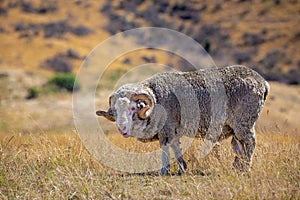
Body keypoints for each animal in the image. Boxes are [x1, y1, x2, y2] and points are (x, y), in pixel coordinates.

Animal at [96, 65, 270, 175]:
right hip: (235, 127)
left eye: (133, 108)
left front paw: (164, 171)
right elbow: (177, 148)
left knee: (250, 143)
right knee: (238, 146)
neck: (157, 100)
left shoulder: (166, 130)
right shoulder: (174, 132)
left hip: (244, 122)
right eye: (115, 111)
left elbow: (165, 149)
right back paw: (237, 168)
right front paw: (182, 169)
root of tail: (263, 82)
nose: (122, 129)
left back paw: (246, 169)